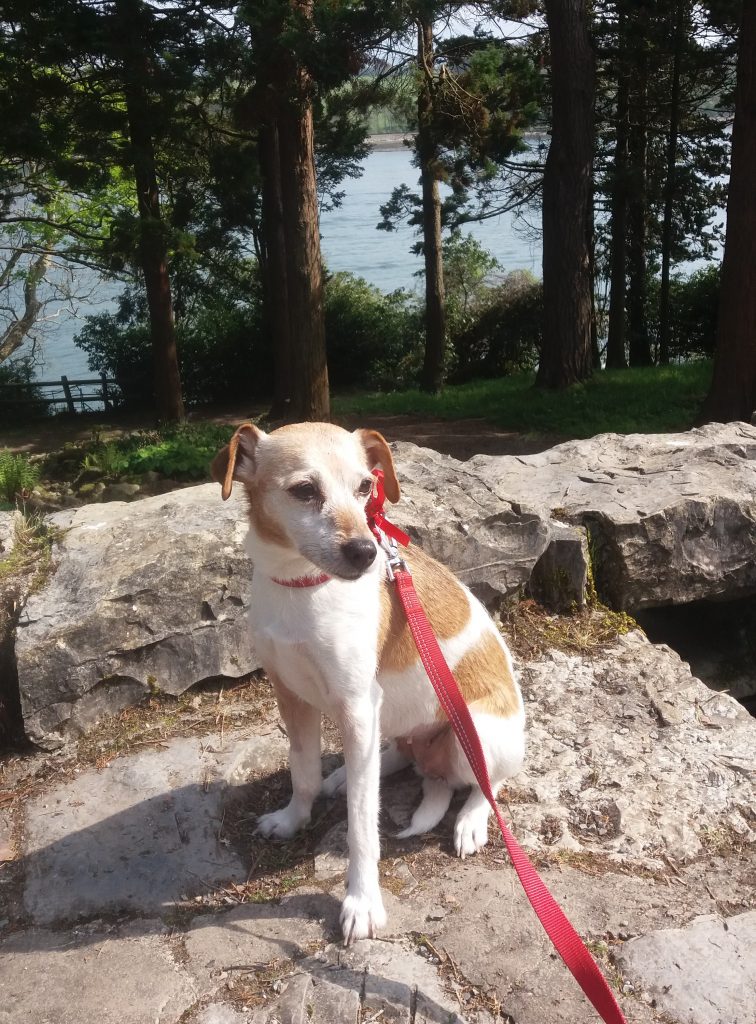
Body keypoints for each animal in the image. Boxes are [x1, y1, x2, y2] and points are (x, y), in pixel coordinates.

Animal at [208, 421, 520, 942]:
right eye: (304, 490)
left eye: (365, 487)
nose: (366, 552)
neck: (301, 586)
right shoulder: (291, 696)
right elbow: (303, 773)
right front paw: (293, 818)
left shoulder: (356, 706)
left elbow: (361, 824)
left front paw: (362, 901)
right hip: (390, 724)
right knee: (395, 756)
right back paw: (350, 774)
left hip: (475, 733)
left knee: (485, 782)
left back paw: (472, 820)